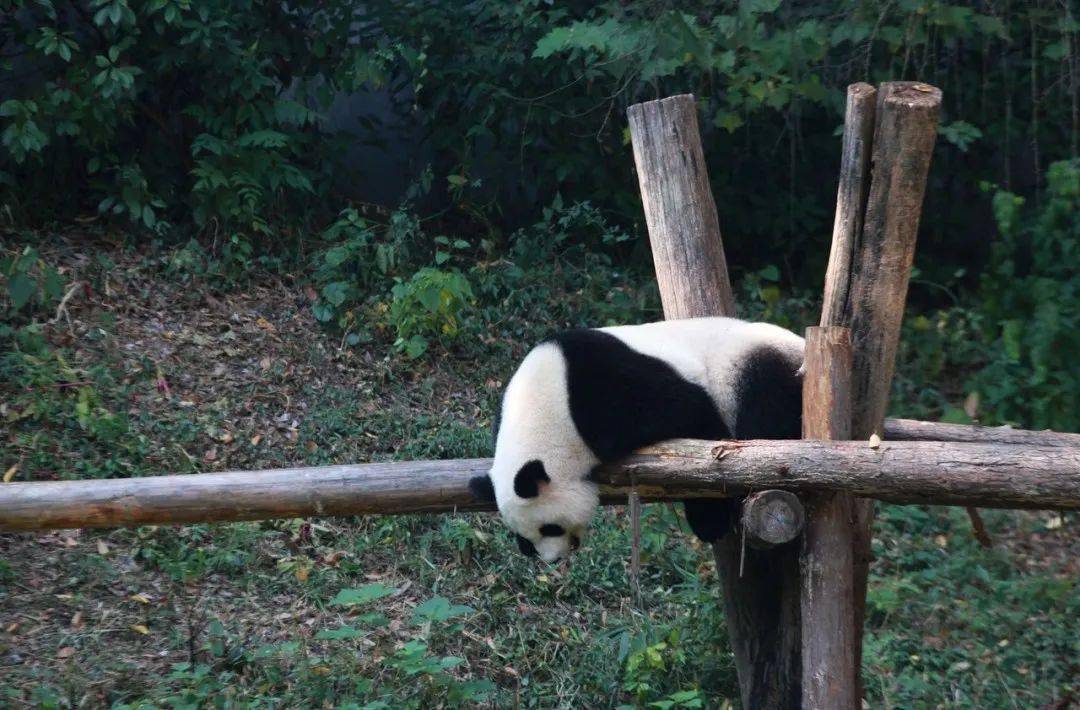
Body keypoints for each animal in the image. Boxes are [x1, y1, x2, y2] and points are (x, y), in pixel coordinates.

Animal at [468, 317, 807, 561]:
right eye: (526, 536)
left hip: (756, 364)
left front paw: (710, 519)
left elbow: (694, 418)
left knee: (765, 410)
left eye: (550, 528)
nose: (552, 559)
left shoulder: (606, 386)